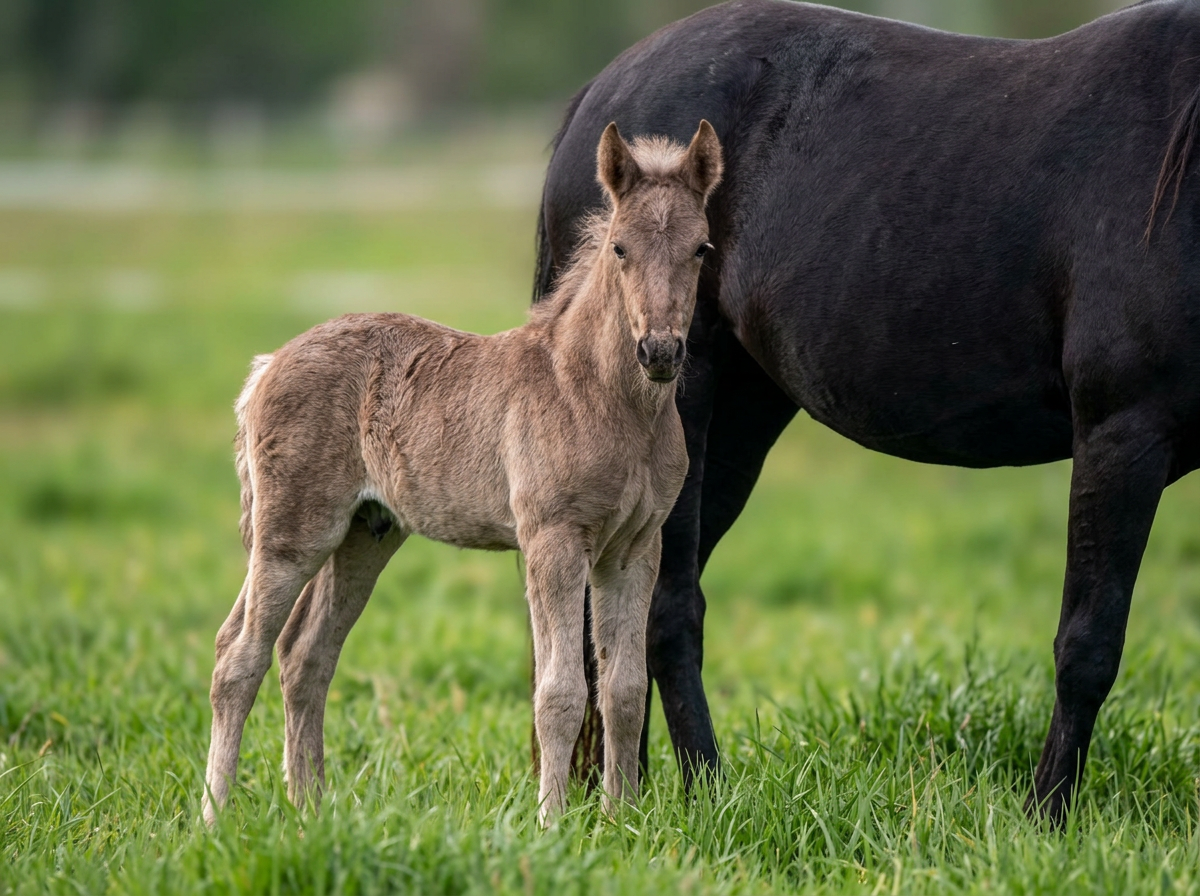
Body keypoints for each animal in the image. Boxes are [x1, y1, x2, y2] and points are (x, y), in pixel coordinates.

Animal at [201, 121, 724, 826]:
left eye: (701, 248)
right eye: (620, 248)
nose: (661, 351)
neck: (600, 396)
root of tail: (267, 365)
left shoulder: (635, 547)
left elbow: (623, 689)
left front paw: (621, 821)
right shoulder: (552, 540)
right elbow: (560, 692)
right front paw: (551, 823)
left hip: (365, 535)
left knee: (306, 656)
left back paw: (311, 809)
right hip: (292, 532)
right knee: (239, 655)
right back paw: (214, 817)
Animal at [534, 0, 1200, 823]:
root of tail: (600, 98)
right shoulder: (1123, 433)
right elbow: (1089, 644)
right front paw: (1048, 818)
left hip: (740, 419)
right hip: (684, 402)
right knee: (666, 610)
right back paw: (706, 792)